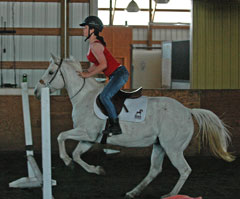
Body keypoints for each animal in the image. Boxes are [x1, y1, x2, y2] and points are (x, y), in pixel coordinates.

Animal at [34, 54, 234, 199]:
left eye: (51, 72)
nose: (36, 91)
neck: (85, 97)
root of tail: (187, 110)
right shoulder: (89, 138)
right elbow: (76, 154)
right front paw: (96, 169)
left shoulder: (86, 133)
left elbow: (61, 136)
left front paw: (66, 160)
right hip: (159, 146)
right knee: (155, 170)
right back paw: (133, 192)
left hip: (173, 148)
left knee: (184, 170)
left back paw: (171, 194)